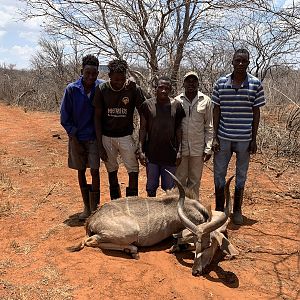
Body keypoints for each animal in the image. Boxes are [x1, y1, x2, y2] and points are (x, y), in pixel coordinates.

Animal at [67, 173, 236, 274]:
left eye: (207, 246)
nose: (196, 271)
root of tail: (92, 219)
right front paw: (177, 247)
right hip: (131, 231)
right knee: (92, 241)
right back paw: (132, 251)